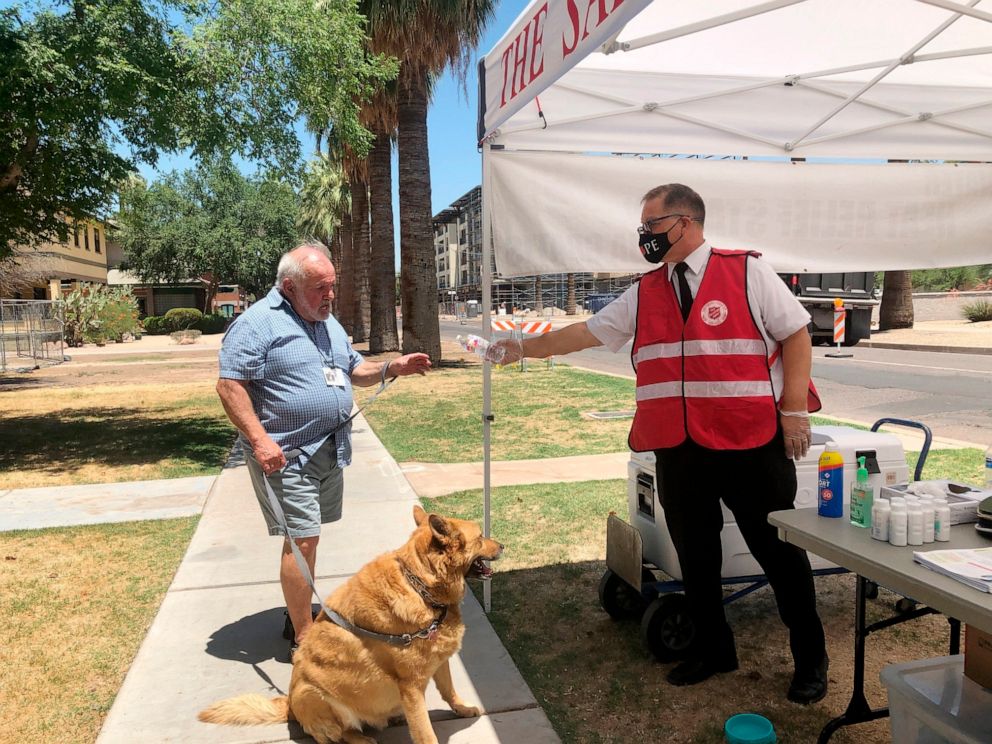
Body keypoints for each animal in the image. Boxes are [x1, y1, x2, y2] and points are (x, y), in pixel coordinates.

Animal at [198, 506, 504, 744]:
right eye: (480, 537)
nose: (502, 545)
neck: (419, 586)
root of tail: (290, 706)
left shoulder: (439, 661)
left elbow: (449, 690)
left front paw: (462, 709)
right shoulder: (411, 686)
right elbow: (425, 732)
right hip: (315, 694)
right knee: (335, 735)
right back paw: (361, 738)